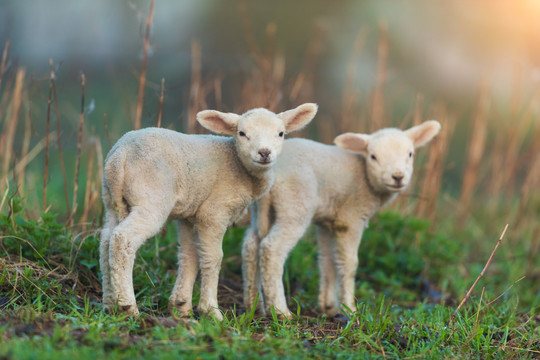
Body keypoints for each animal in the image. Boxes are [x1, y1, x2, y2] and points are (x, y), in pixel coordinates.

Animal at [99, 102, 318, 320]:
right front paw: (211, 310)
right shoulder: (213, 213)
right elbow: (213, 258)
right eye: (242, 133)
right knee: (122, 239)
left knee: (106, 241)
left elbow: (189, 256)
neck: (239, 165)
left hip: (111, 200)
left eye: (280, 133)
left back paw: (110, 303)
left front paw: (181, 306)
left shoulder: (189, 215)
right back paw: (127, 306)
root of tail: (119, 157)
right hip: (151, 198)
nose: (264, 153)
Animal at [243, 120, 440, 318]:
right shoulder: (351, 219)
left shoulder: (327, 222)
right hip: (294, 206)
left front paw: (328, 307)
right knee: (271, 248)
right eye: (373, 157)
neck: (366, 178)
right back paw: (280, 311)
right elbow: (349, 263)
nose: (398, 177)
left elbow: (327, 260)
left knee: (251, 244)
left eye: (410, 154)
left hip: (260, 208)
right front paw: (349, 309)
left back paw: (254, 305)